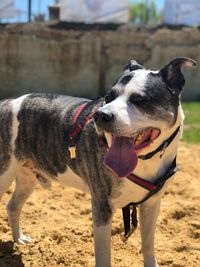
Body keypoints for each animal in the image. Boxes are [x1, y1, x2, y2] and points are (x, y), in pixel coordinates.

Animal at [0, 57, 197, 266]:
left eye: (138, 100)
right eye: (108, 97)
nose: (101, 115)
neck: (144, 161)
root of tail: (7, 102)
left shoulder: (152, 205)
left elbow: (148, 245)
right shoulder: (102, 206)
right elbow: (104, 255)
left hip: (27, 178)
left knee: (12, 206)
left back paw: (18, 239)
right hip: (4, 175)